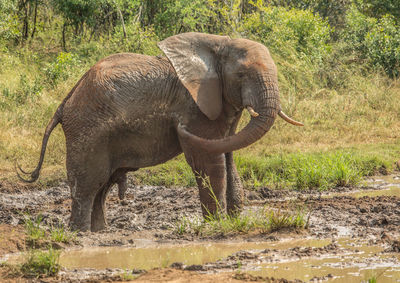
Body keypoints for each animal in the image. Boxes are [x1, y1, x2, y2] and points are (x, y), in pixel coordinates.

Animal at [17, 32, 302, 232]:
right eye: (241, 74)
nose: (177, 125)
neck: (219, 44)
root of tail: (66, 101)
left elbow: (227, 155)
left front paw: (232, 220)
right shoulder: (197, 109)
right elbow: (208, 161)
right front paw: (217, 224)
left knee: (102, 187)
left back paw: (99, 232)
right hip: (86, 130)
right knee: (87, 186)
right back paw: (80, 234)